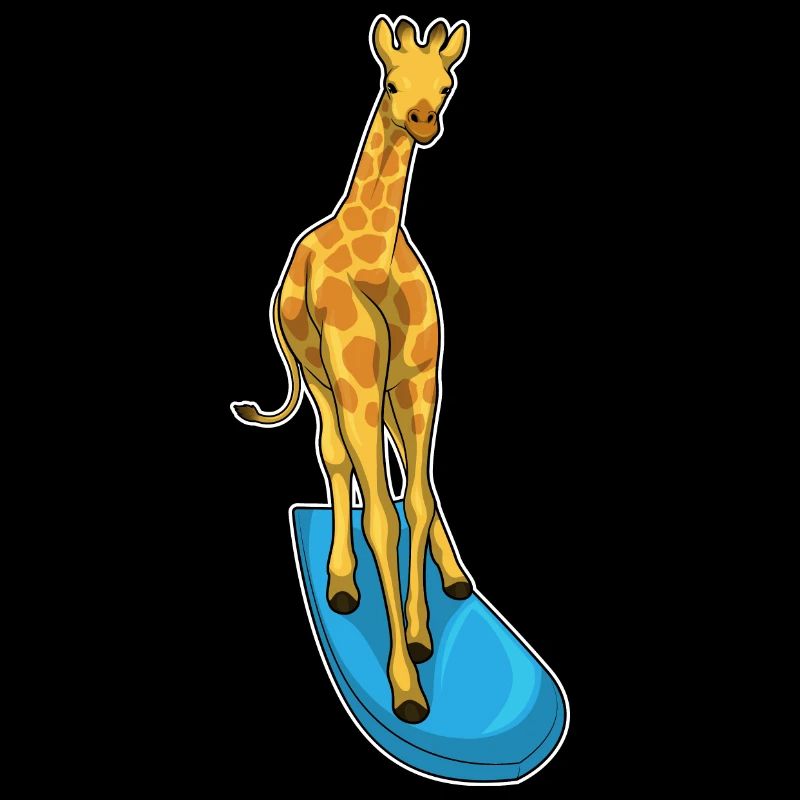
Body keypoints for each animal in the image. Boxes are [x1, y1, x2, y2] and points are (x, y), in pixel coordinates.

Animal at [232, 15, 470, 724]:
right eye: (391, 80)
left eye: (446, 84)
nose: (422, 119)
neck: (378, 251)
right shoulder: (357, 382)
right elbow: (382, 517)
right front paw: (407, 690)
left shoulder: (419, 381)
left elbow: (415, 497)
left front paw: (420, 636)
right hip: (318, 378)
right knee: (334, 457)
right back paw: (340, 583)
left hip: (380, 392)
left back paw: (453, 579)